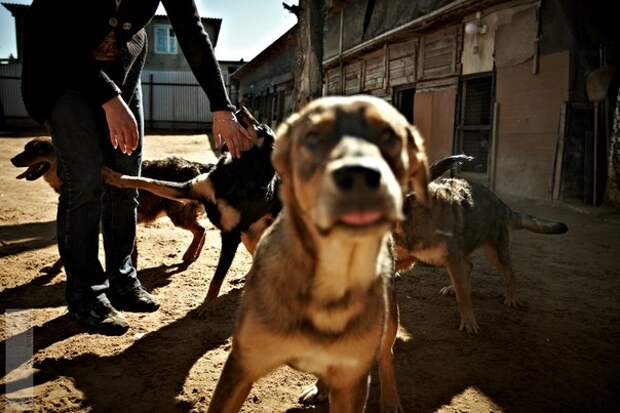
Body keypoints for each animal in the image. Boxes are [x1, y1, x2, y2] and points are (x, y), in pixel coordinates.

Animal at [206, 96, 428, 412]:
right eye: (313, 138)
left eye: (389, 136)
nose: (359, 175)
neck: (330, 282)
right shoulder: (241, 366)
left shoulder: (353, 380)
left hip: (388, 324)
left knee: (386, 355)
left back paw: (389, 399)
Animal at [394, 163, 568, 334]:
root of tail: (500, 202)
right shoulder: (407, 257)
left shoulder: (452, 259)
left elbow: (463, 296)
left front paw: (469, 322)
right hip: (456, 256)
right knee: (469, 267)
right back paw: (452, 288)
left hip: (493, 254)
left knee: (509, 274)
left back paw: (511, 298)